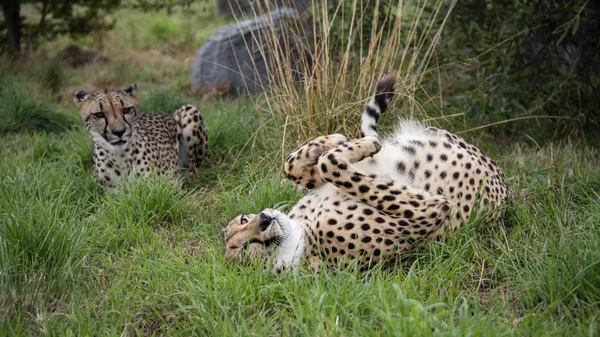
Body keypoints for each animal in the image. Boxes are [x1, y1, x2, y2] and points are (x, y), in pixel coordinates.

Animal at [72, 83, 207, 189]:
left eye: (126, 110)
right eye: (99, 114)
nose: (119, 132)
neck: (119, 157)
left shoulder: (169, 188)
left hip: (189, 110)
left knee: (192, 168)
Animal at [220, 75, 506, 272]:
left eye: (244, 219)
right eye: (245, 249)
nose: (264, 219)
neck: (302, 233)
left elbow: (294, 166)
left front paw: (332, 141)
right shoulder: (429, 211)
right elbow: (329, 164)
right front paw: (358, 145)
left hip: (440, 132)